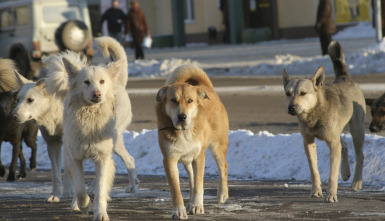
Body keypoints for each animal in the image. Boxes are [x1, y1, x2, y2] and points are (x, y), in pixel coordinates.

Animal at [9, 36, 139, 204]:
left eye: (30, 100)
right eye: (17, 100)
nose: (13, 116)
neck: (55, 109)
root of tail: (118, 83)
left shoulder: (68, 143)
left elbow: (68, 171)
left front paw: (69, 192)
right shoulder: (53, 144)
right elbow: (56, 173)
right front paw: (55, 194)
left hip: (112, 141)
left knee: (128, 159)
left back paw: (130, 186)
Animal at [155, 64, 228, 219]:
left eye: (190, 101)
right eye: (173, 100)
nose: (182, 117)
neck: (183, 132)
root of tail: (206, 87)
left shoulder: (199, 157)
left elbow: (199, 184)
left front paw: (197, 206)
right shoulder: (169, 160)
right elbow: (176, 189)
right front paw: (179, 211)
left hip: (217, 145)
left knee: (223, 166)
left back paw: (222, 194)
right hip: (188, 160)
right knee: (192, 179)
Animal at [282, 41, 364, 202]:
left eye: (303, 93)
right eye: (288, 94)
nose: (291, 108)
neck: (315, 114)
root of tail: (344, 77)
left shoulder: (332, 143)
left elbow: (332, 174)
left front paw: (331, 195)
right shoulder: (308, 142)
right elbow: (314, 170)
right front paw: (316, 191)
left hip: (357, 130)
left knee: (359, 155)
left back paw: (356, 183)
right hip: (338, 132)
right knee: (344, 146)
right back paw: (345, 172)